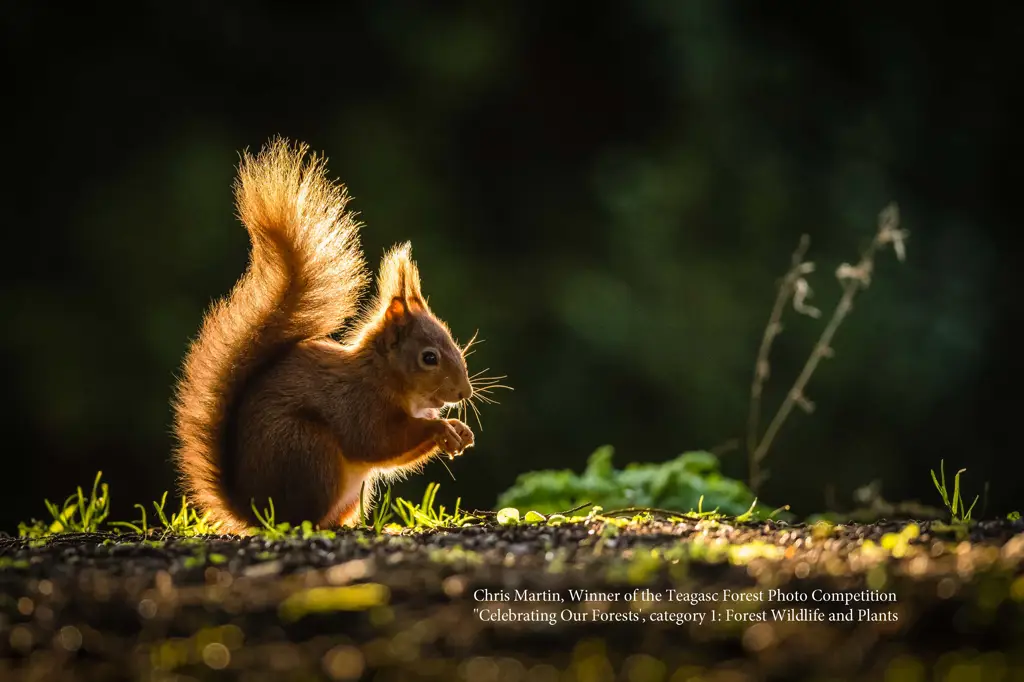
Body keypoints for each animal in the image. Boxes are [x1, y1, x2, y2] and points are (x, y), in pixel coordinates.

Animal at [173, 138, 479, 532]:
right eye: (429, 358)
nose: (464, 393)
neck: (383, 375)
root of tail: (255, 510)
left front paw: (460, 431)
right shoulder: (358, 405)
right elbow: (378, 442)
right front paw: (442, 429)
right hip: (309, 452)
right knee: (303, 518)